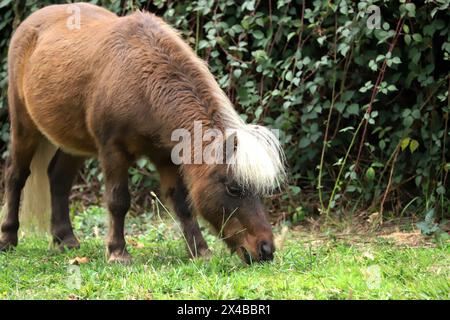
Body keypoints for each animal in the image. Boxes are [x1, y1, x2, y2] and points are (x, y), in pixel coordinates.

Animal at [0, 2, 284, 264]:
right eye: (234, 189)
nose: (265, 250)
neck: (144, 85)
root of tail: (30, 23)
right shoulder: (113, 150)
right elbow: (118, 201)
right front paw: (118, 252)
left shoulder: (167, 156)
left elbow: (183, 204)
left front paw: (200, 251)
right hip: (25, 126)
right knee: (16, 175)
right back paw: (8, 239)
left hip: (73, 141)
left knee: (58, 178)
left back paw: (65, 239)